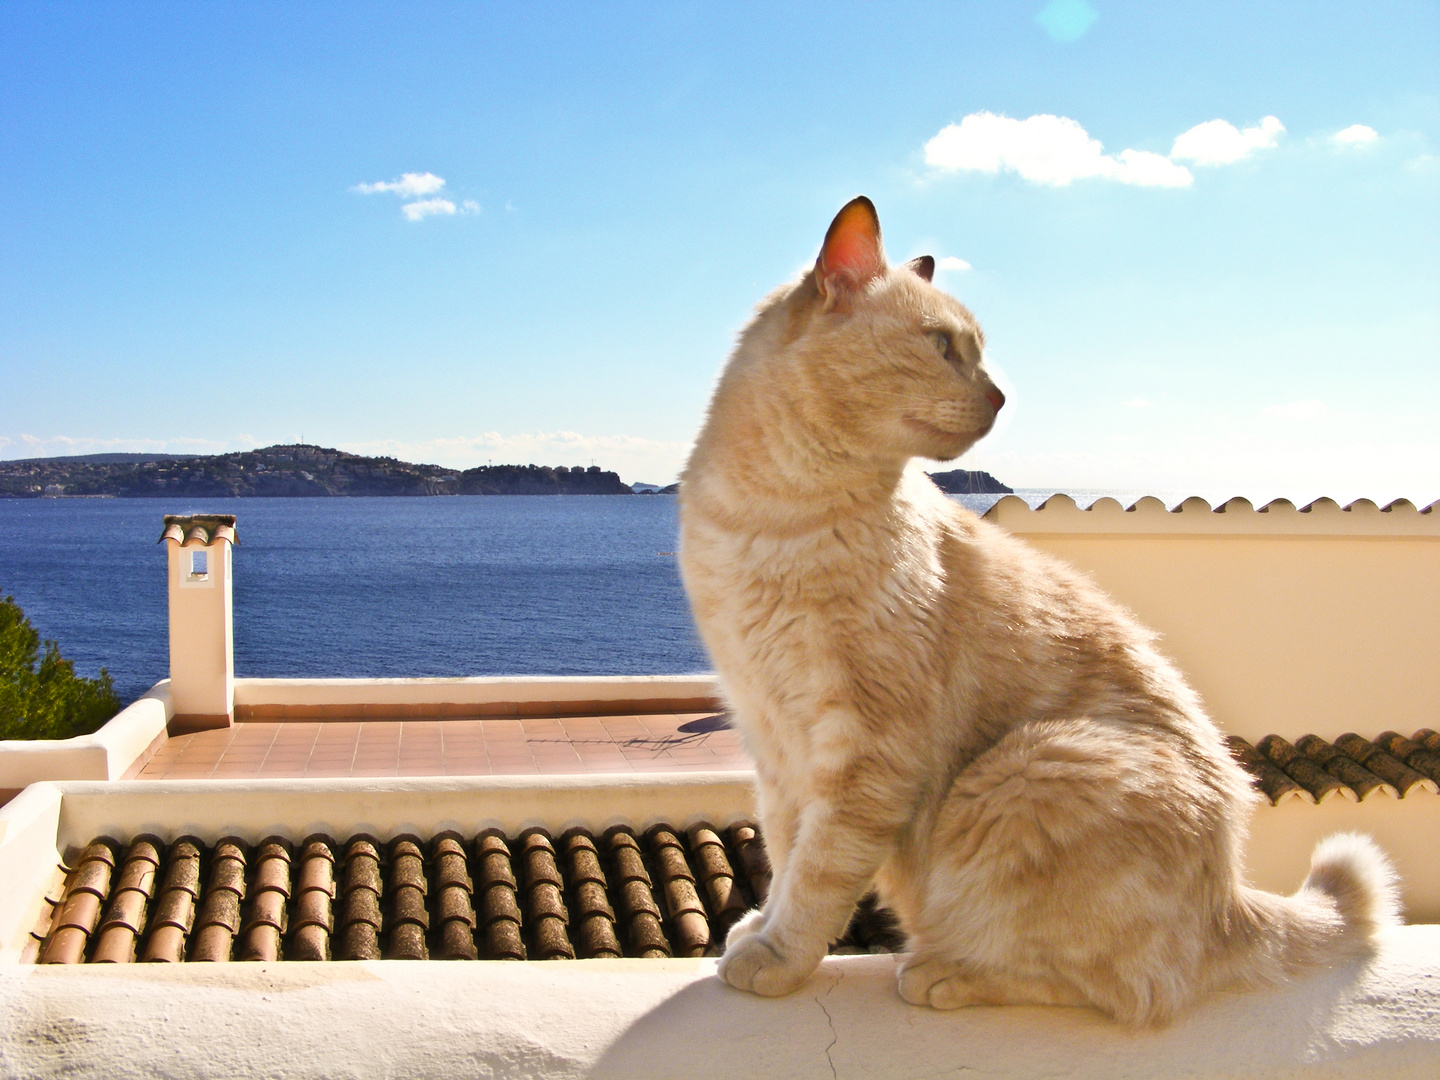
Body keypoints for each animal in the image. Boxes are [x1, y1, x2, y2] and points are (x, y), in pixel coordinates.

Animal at [679, 197, 1399, 1031]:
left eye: (978, 353)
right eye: (942, 347)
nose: (1000, 396)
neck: (763, 520)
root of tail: (1230, 899)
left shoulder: (861, 752)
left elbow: (817, 875)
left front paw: (777, 955)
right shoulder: (771, 739)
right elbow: (786, 851)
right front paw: (759, 930)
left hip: (1023, 769)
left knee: (1130, 988)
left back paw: (945, 972)